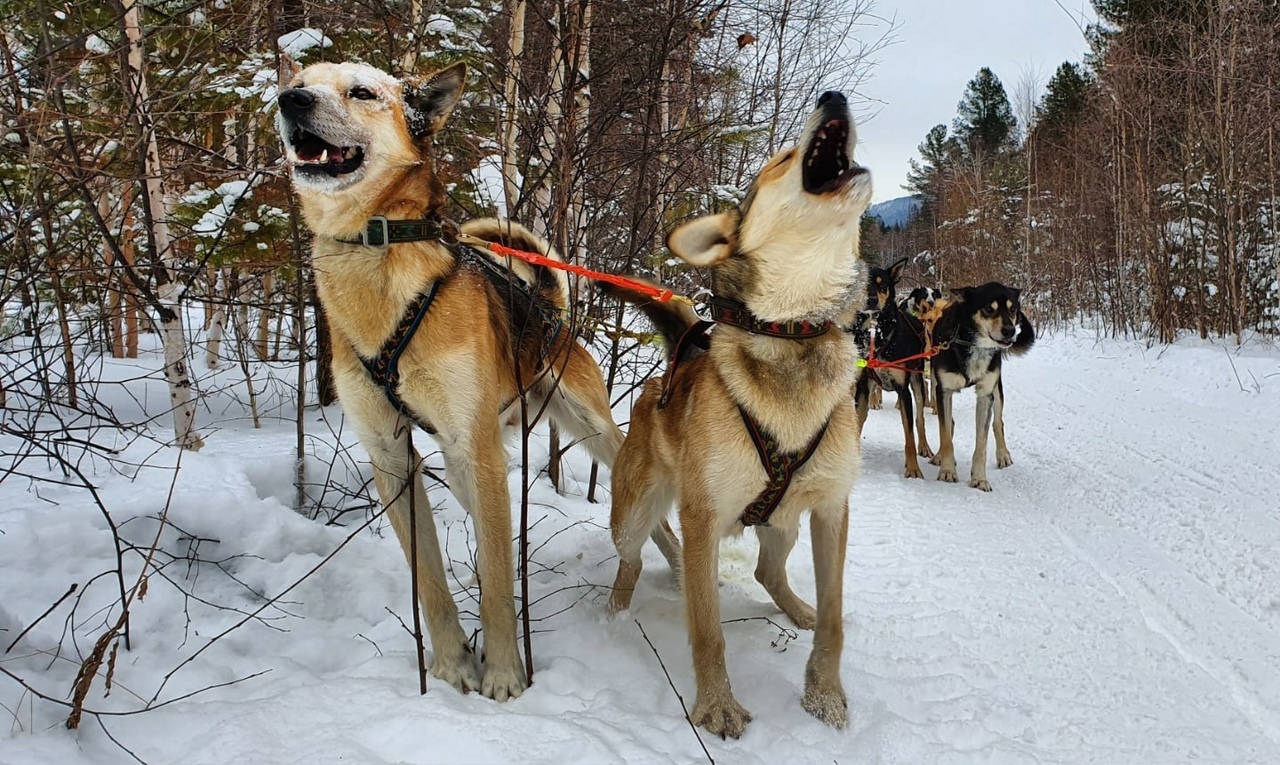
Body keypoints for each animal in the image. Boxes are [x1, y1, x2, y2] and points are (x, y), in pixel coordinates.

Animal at [276, 63, 680, 706]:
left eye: (362, 91)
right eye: (302, 80)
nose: (291, 99)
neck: (377, 258)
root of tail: (546, 304)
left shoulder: (481, 451)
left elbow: (495, 583)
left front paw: (505, 675)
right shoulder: (391, 456)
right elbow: (430, 582)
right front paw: (452, 666)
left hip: (589, 434)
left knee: (649, 521)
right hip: (465, 465)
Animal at [606, 91, 870, 741]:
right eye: (780, 158)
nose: (833, 97)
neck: (793, 328)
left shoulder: (831, 509)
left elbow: (835, 620)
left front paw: (824, 694)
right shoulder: (703, 517)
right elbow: (707, 630)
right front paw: (716, 706)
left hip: (786, 521)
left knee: (767, 574)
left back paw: (796, 608)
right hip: (633, 514)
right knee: (631, 556)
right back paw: (616, 617)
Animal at [860, 258, 931, 475]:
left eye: (883, 285)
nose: (872, 300)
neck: (876, 333)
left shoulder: (903, 390)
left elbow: (909, 435)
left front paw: (913, 468)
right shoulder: (862, 386)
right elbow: (857, 422)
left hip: (917, 382)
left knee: (919, 420)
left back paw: (924, 447)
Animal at [931, 281, 1039, 491]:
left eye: (1013, 309)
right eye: (989, 309)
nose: (1010, 331)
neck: (973, 345)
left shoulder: (985, 395)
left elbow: (982, 443)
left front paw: (980, 478)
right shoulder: (944, 391)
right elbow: (945, 434)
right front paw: (947, 470)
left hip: (997, 391)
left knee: (998, 423)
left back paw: (1003, 454)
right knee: (947, 425)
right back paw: (939, 456)